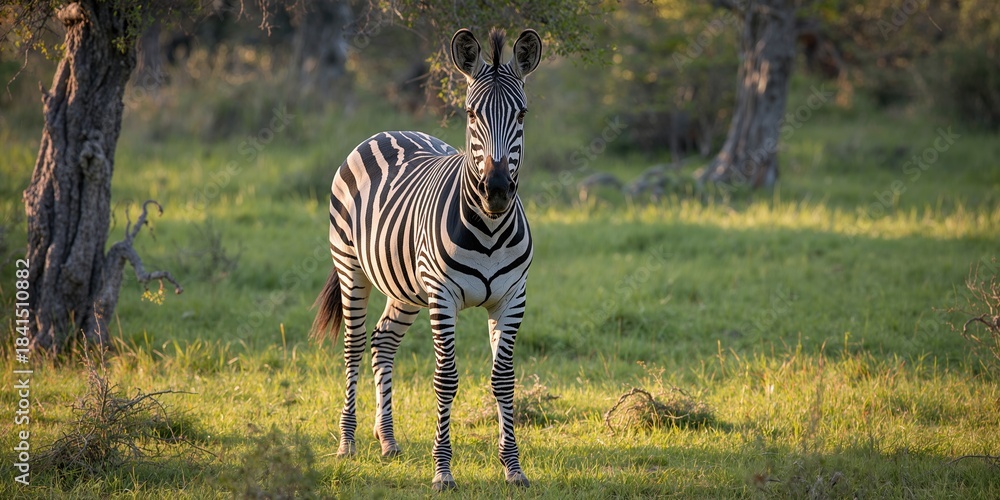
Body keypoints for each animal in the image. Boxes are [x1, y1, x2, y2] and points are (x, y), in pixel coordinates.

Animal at [311, 28, 542, 491]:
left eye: (522, 113)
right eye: (471, 113)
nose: (496, 189)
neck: (490, 228)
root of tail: (388, 131)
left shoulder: (513, 298)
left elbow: (504, 380)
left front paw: (513, 468)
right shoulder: (443, 295)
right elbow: (446, 379)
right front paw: (443, 472)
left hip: (404, 287)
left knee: (383, 340)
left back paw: (387, 441)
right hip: (351, 267)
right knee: (354, 346)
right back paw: (347, 443)